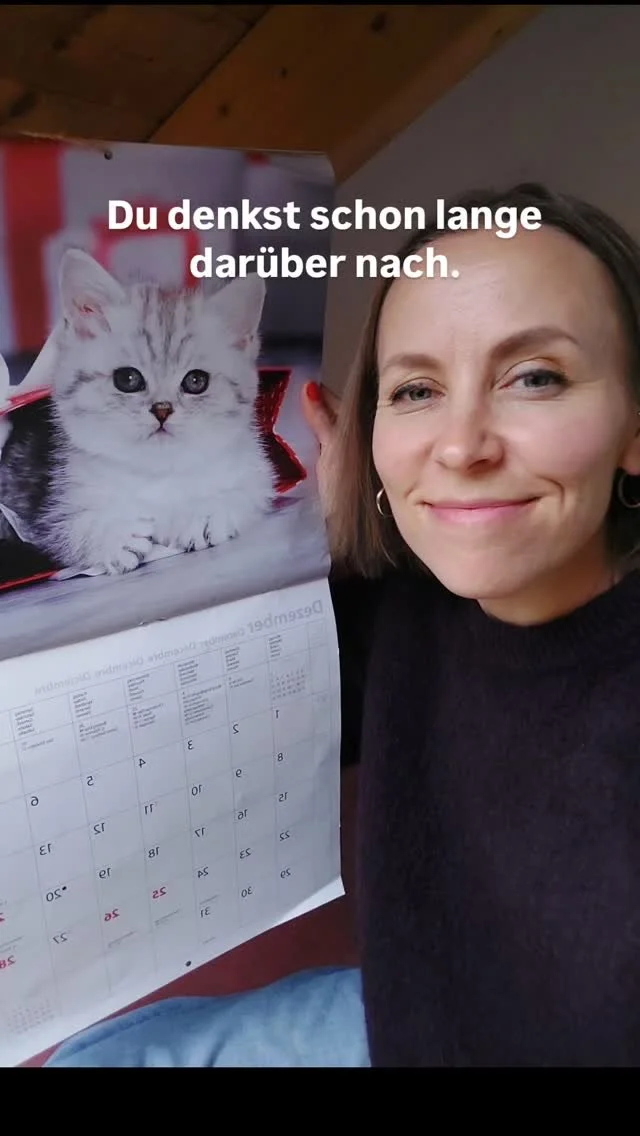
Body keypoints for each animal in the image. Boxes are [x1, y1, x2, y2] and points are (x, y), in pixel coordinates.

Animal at [0, 249, 277, 574]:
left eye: (196, 381)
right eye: (128, 379)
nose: (162, 409)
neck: (157, 473)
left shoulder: (257, 469)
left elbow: (248, 491)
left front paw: (204, 512)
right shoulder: (44, 504)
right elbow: (64, 526)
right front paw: (112, 536)